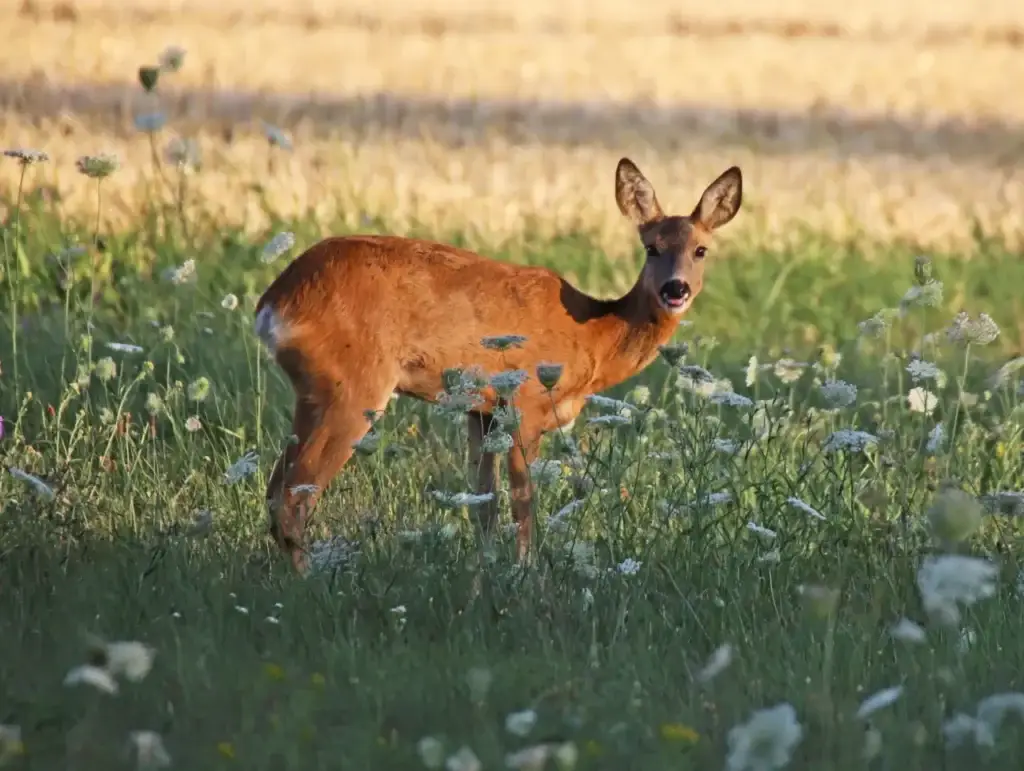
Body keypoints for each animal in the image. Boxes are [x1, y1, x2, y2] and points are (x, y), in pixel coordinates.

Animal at [254, 158, 743, 572]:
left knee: (275, 489)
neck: (593, 334)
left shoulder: (482, 410)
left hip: (317, 392)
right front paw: (525, 576)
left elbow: (483, 507)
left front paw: (485, 577)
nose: (675, 289)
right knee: (294, 497)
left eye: (701, 250)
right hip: (352, 386)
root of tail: (274, 303)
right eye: (651, 248)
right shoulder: (525, 404)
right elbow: (523, 503)